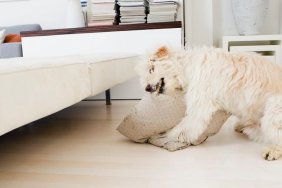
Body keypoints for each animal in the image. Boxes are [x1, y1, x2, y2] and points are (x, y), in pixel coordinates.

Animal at [137, 45, 282, 160]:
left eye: (151, 68)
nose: (147, 88)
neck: (188, 66)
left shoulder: (199, 108)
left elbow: (181, 129)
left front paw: (164, 136)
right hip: (254, 125)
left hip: (272, 111)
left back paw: (272, 151)